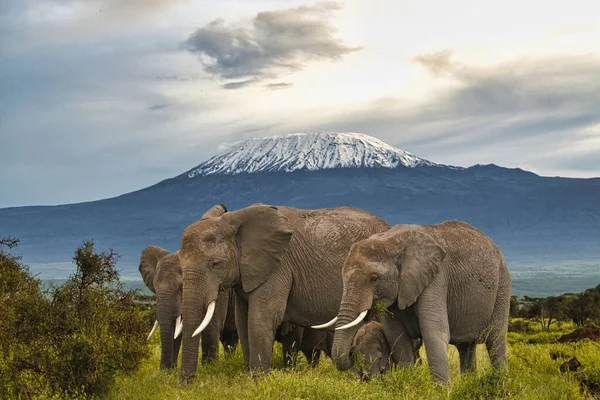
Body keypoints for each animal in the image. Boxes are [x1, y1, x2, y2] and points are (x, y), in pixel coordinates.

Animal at [176, 203, 390, 378]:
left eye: (215, 264)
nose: (187, 382)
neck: (235, 220)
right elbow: (243, 321)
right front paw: (250, 377)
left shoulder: (278, 267)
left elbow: (261, 318)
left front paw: (259, 380)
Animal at [326, 220, 512, 382]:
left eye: (374, 279)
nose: (352, 352)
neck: (392, 241)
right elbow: (396, 336)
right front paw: (409, 381)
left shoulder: (436, 277)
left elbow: (434, 332)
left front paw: (440, 392)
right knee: (466, 347)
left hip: (502, 286)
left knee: (495, 341)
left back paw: (501, 382)